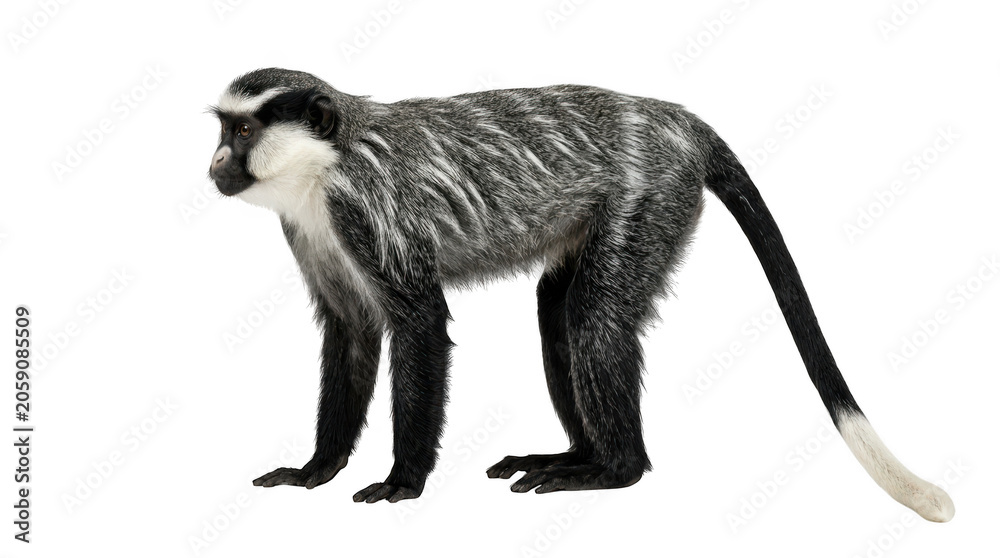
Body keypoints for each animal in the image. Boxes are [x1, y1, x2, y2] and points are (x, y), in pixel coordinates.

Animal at [207, 67, 953, 521]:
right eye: (223, 129)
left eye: (242, 132)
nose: (215, 164)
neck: (325, 164)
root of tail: (672, 118)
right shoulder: (310, 228)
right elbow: (354, 334)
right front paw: (317, 468)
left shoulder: (362, 206)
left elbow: (419, 323)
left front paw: (404, 480)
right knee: (558, 310)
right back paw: (578, 455)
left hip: (652, 194)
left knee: (593, 316)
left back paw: (615, 468)